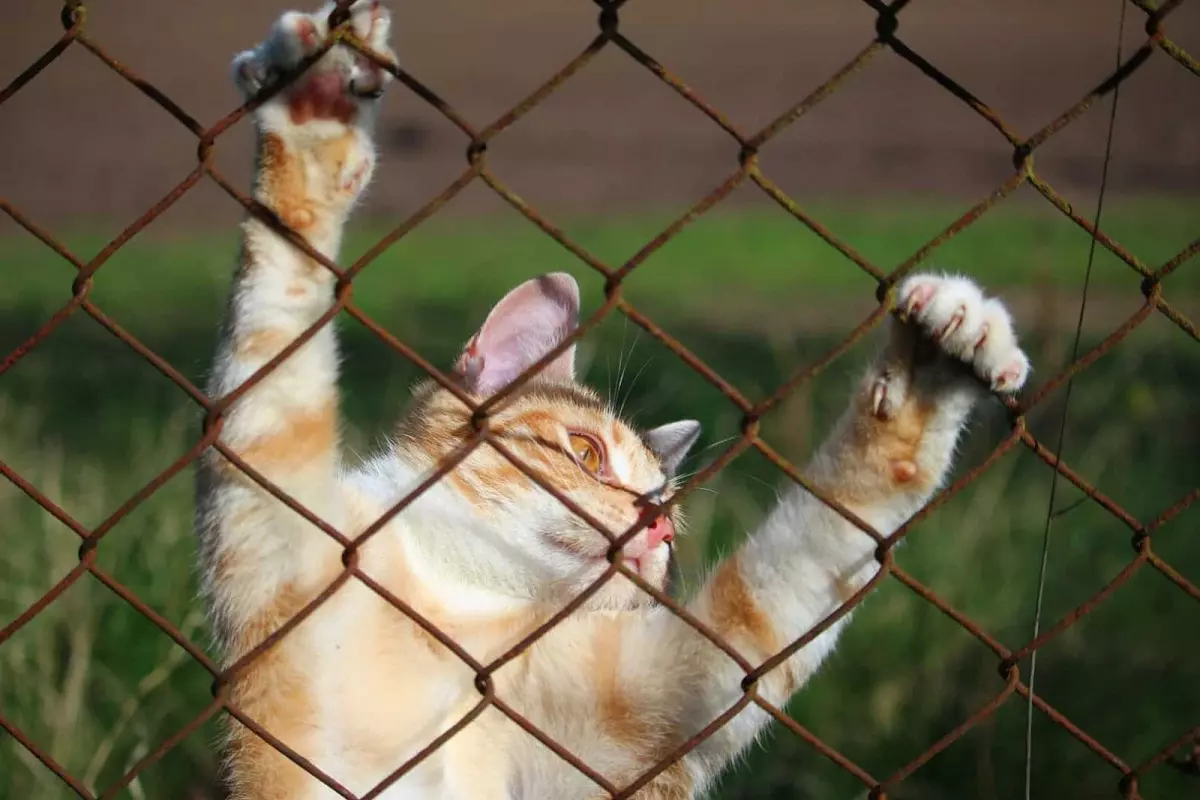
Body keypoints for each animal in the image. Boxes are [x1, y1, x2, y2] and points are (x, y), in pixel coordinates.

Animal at [196, 3, 1032, 796]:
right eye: (586, 452)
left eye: (667, 507)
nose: (654, 525)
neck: (456, 604)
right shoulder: (277, 546)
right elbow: (277, 324)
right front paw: (315, 114)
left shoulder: (657, 698)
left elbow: (786, 583)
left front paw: (933, 368)